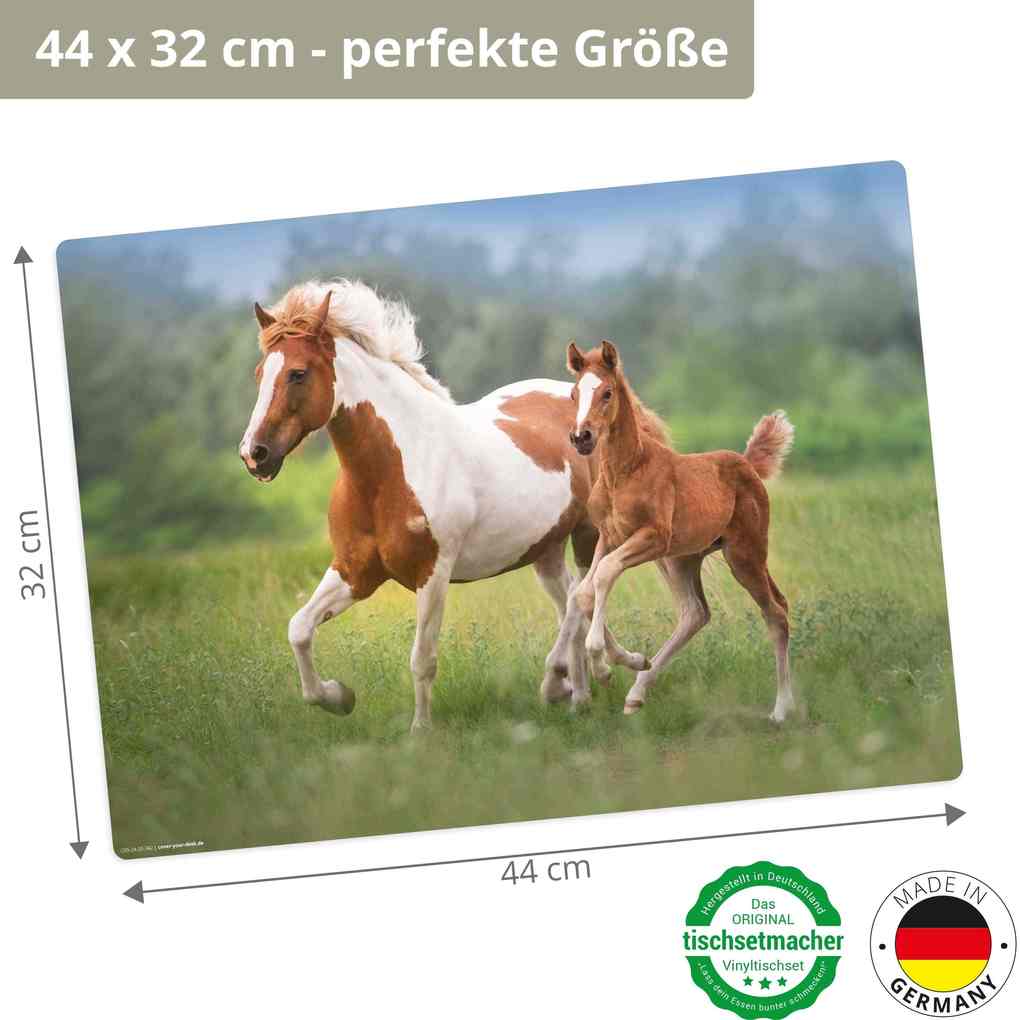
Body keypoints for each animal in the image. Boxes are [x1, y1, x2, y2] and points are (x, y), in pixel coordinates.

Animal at [237, 279, 649, 729]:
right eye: (259, 374)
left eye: (298, 373)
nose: (254, 454)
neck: (393, 469)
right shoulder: (354, 571)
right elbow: (299, 629)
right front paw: (338, 696)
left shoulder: (432, 573)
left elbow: (422, 659)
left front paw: (421, 731)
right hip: (546, 549)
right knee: (572, 602)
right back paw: (584, 692)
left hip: (587, 534)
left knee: (583, 597)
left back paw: (571, 677)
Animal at [552, 339, 796, 722]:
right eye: (574, 394)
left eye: (607, 392)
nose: (581, 437)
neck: (625, 471)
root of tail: (748, 464)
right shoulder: (609, 536)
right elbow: (583, 593)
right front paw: (624, 662)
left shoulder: (653, 536)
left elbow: (603, 575)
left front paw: (601, 663)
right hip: (683, 559)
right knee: (696, 613)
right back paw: (637, 693)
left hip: (745, 554)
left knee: (776, 612)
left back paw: (782, 709)